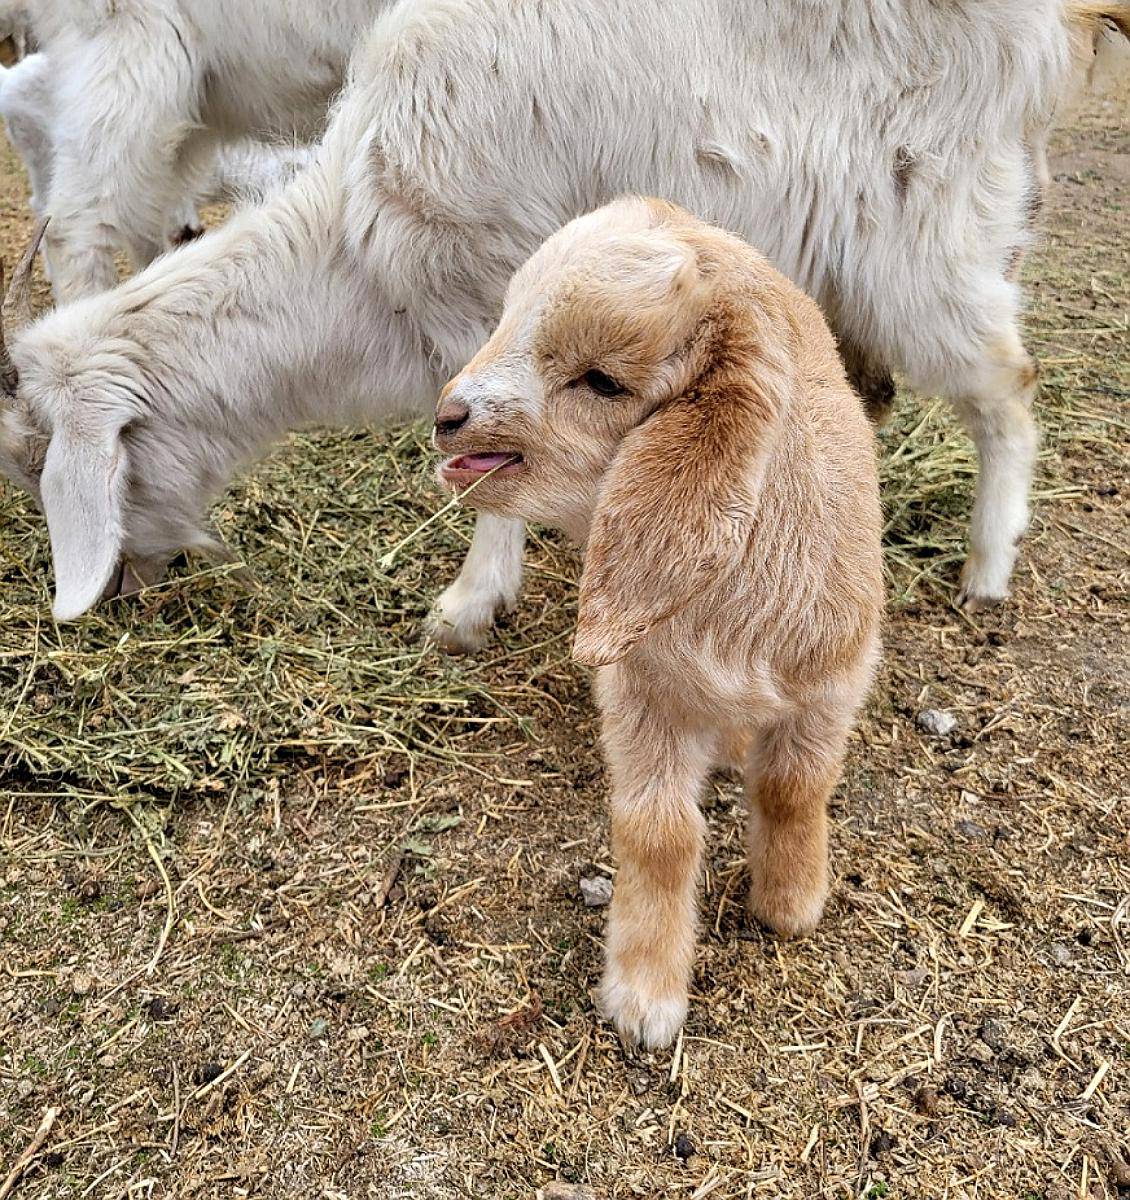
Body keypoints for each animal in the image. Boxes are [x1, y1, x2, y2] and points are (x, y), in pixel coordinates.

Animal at [433, 196, 884, 1046]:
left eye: (603, 381)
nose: (449, 416)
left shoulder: (833, 684)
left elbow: (796, 787)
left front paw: (790, 903)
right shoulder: (642, 694)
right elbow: (660, 833)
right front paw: (644, 998)